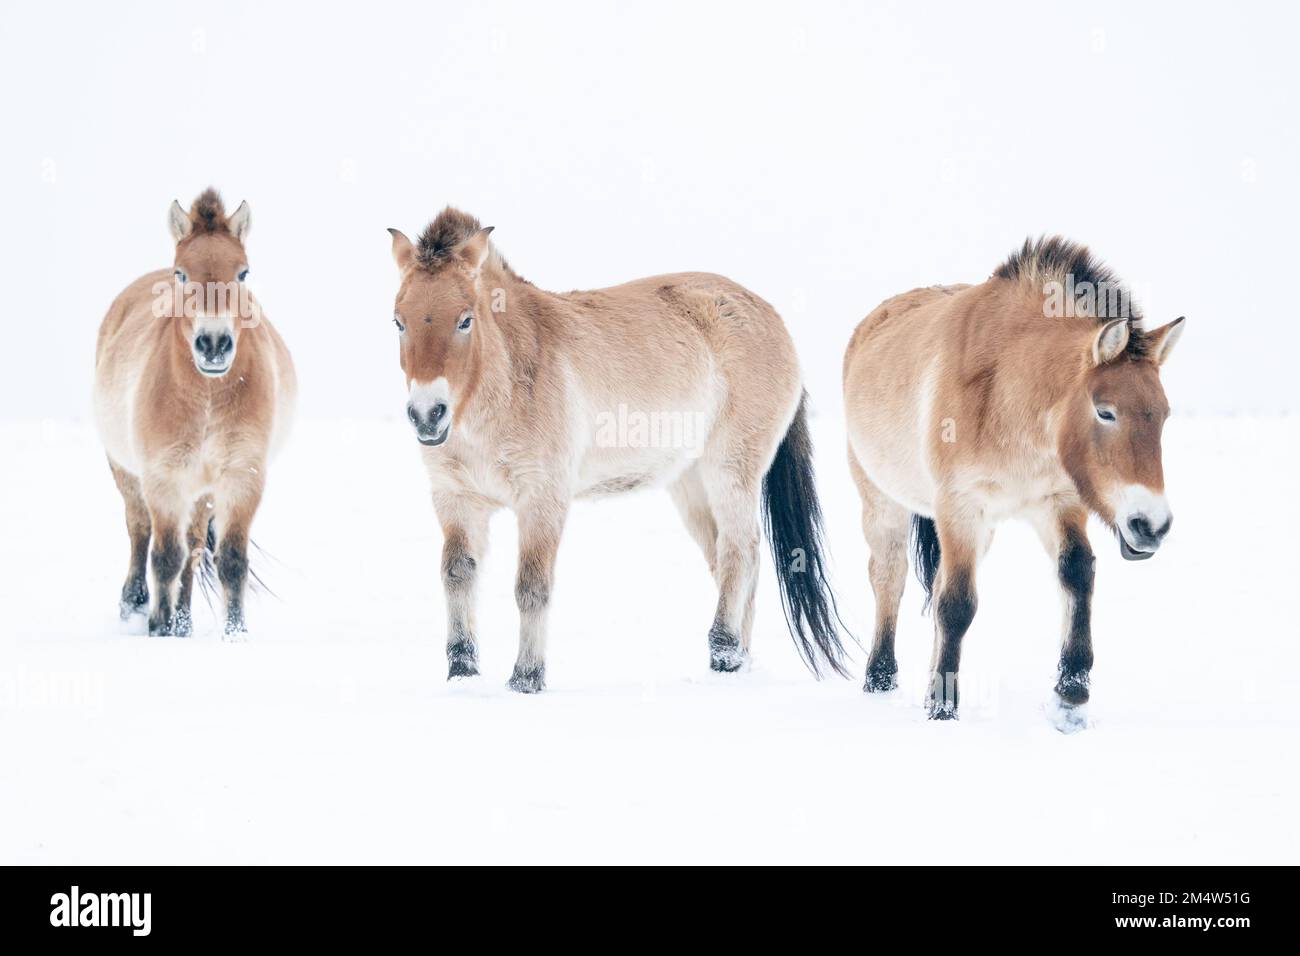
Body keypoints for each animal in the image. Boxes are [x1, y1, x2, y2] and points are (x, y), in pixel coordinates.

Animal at [93, 189, 296, 638]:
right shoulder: (163, 478)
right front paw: (157, 627)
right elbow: (164, 556)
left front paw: (234, 634)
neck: (207, 398)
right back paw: (135, 604)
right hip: (127, 471)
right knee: (140, 531)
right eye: (182, 275)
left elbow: (230, 561)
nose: (214, 344)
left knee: (195, 546)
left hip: (202, 491)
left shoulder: (242, 477)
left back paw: (183, 623)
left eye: (242, 274)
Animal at [385, 207, 849, 692]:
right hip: (690, 484)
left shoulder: (542, 499)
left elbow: (532, 586)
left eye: (465, 320)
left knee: (740, 551)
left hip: (730, 470)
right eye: (398, 321)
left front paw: (526, 679)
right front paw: (462, 672)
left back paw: (723, 652)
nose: (427, 414)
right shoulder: (455, 498)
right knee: (736, 560)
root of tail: (771, 317)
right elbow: (457, 575)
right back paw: (739, 658)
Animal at [843, 236, 1185, 725]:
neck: (1008, 392)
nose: (1151, 525)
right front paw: (944, 709)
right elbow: (957, 604)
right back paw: (879, 678)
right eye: (1106, 412)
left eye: (1164, 415)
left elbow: (1076, 572)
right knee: (889, 577)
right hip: (882, 504)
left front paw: (1071, 692)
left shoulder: (1058, 502)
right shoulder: (960, 507)